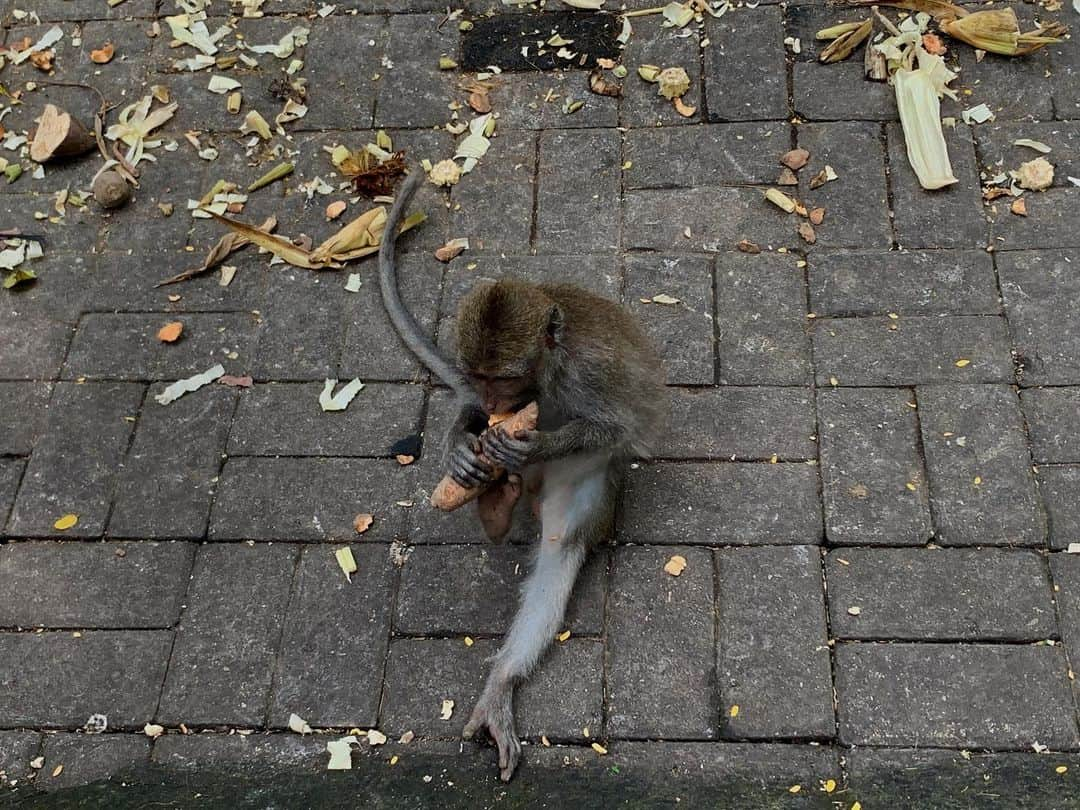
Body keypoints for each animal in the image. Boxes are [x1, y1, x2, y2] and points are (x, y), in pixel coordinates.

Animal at [380, 169, 665, 781]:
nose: (493, 402)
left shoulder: (590, 373)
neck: (546, 372)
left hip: (583, 484)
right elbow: (465, 411)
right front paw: (460, 446)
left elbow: (616, 426)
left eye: (505, 378)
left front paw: (533, 443)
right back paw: (495, 506)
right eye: (479, 375)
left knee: (561, 545)